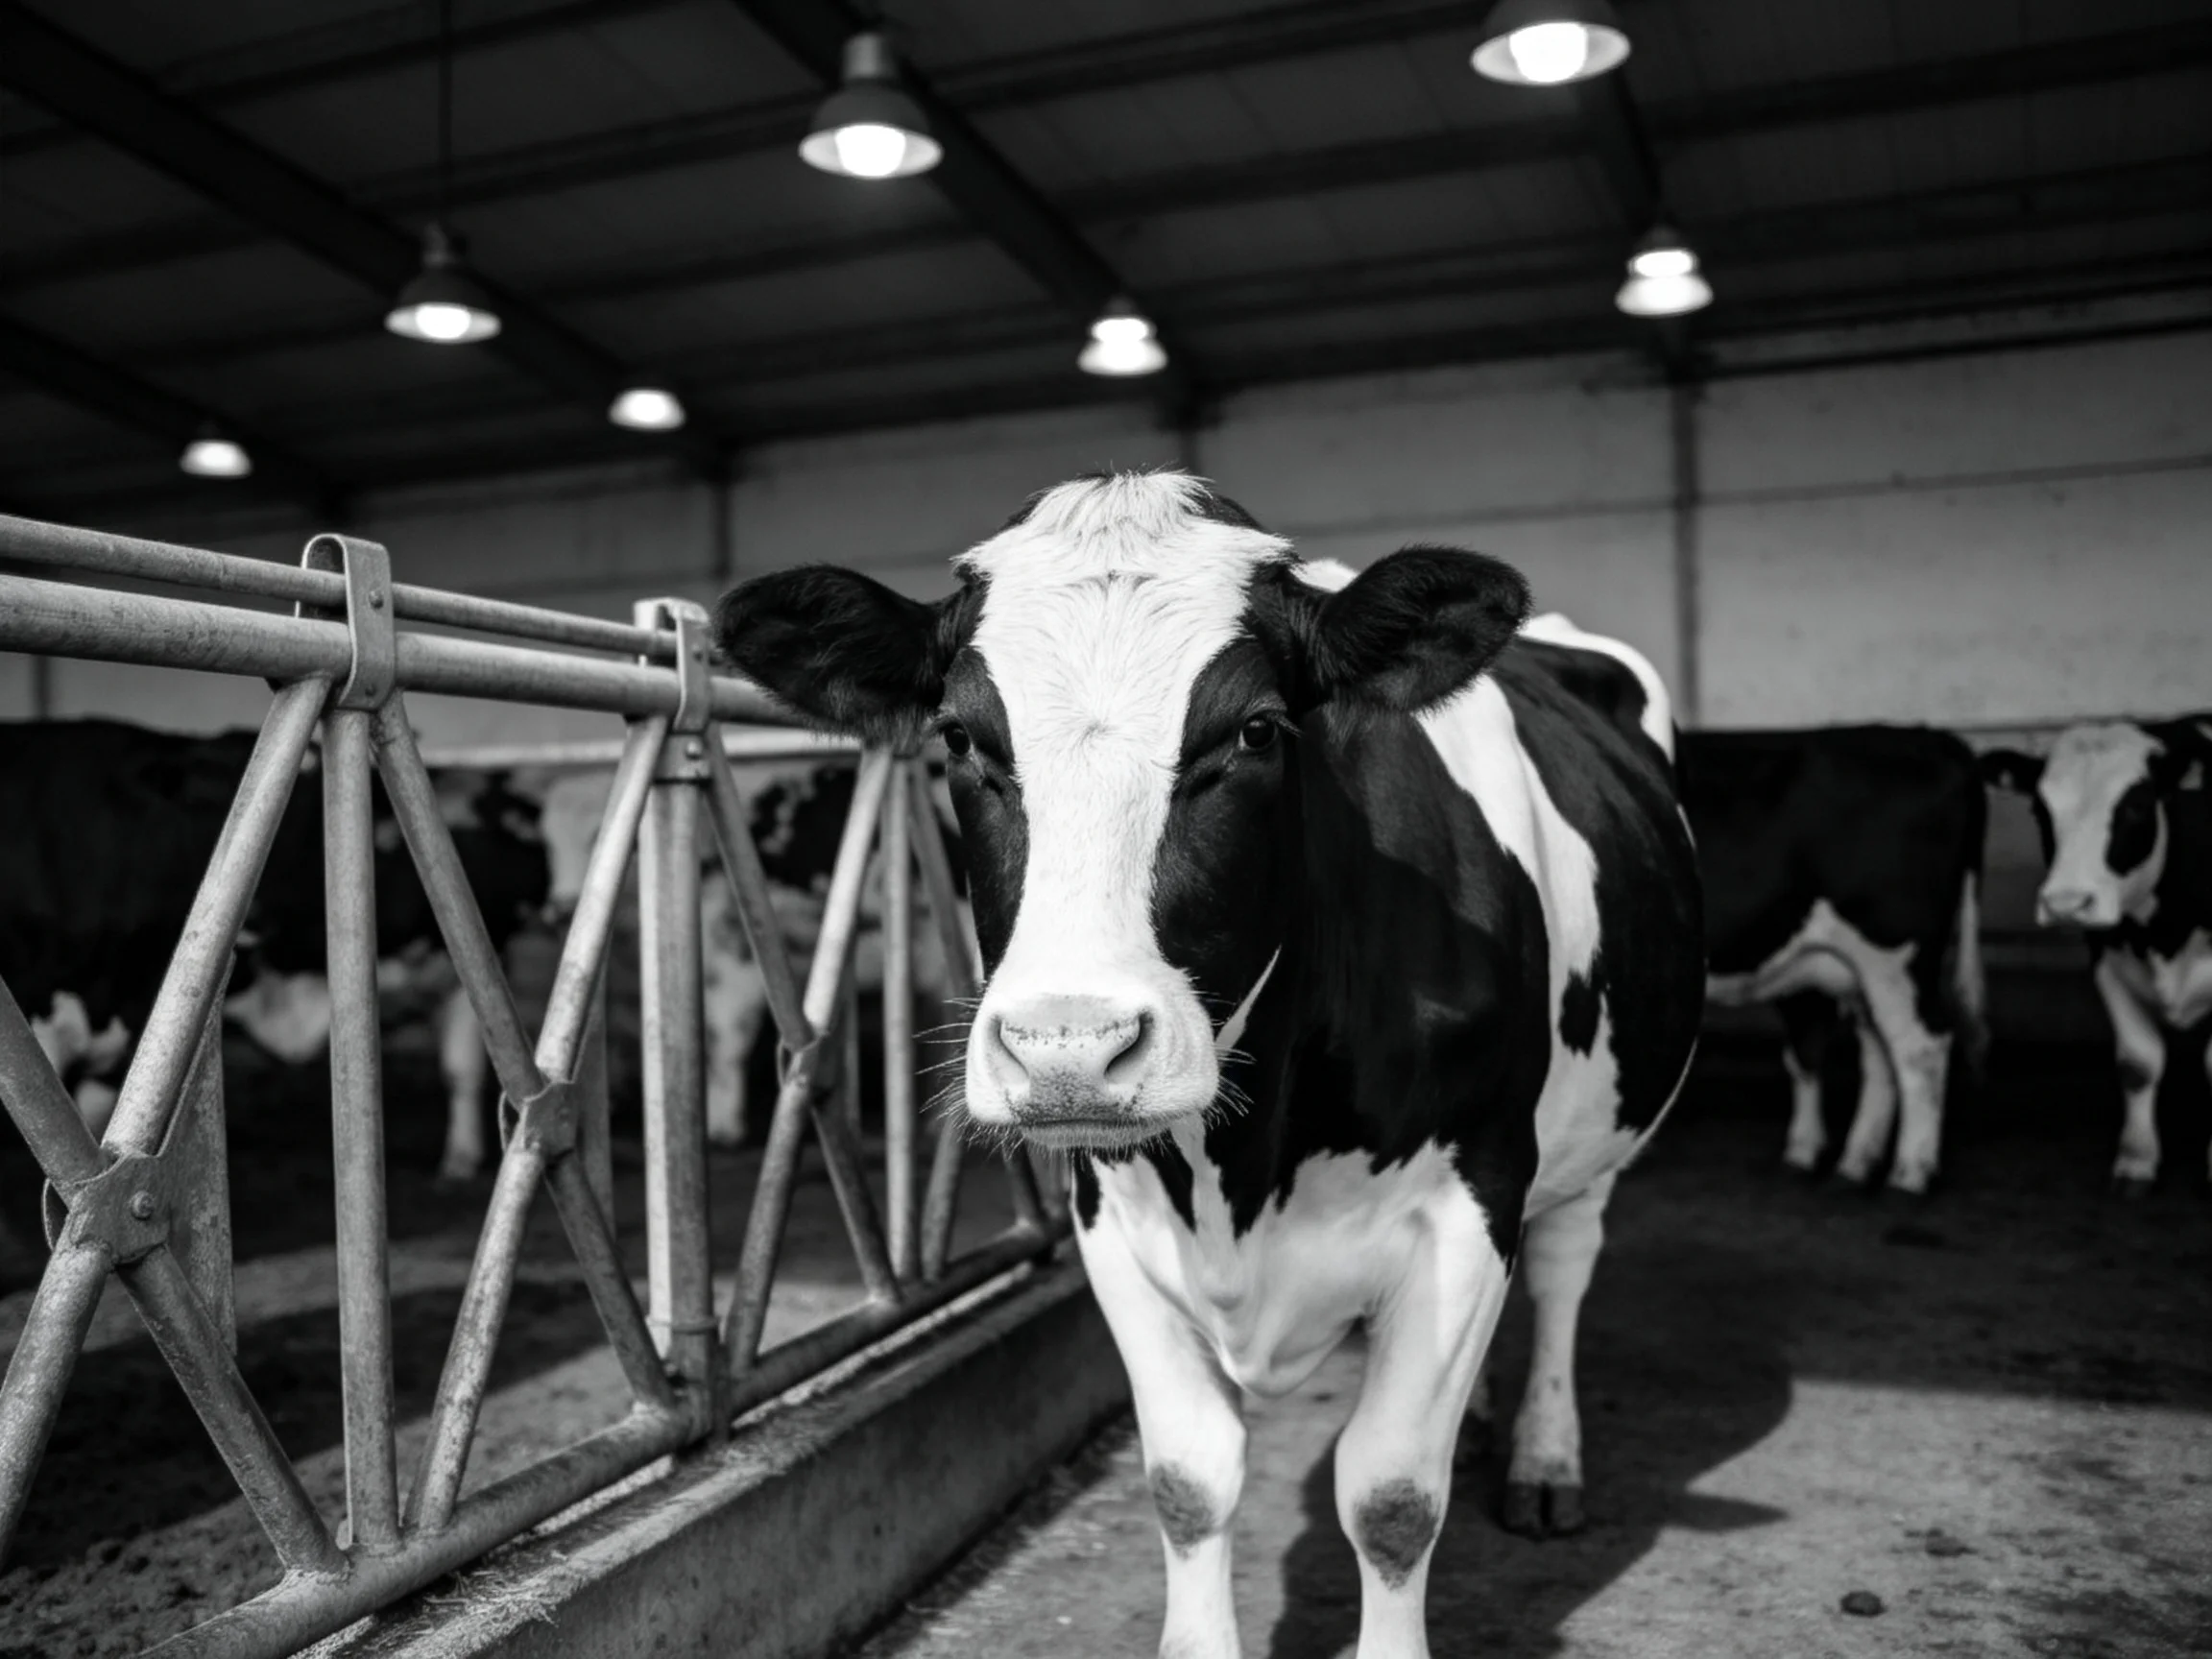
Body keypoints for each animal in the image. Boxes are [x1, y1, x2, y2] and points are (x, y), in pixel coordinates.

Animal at [711, 471, 1705, 1657]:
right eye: (957, 737)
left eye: (1259, 730)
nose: (1068, 1049)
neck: (1246, 1170)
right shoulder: (1112, 1218)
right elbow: (1189, 1482)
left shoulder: (1473, 1193)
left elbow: (1390, 1496)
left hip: (1591, 1133)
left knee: (1562, 1269)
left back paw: (1544, 1460)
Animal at [1680, 727, 1987, 1194]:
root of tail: (1928, 735)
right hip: (1863, 971)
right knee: (1880, 1051)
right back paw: (1857, 1163)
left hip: (1892, 954)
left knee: (1920, 1046)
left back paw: (1910, 1173)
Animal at [1982, 717, 2212, 1193]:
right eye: (2040, 812)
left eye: (2138, 807)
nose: (2066, 902)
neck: (2161, 932)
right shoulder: (2107, 962)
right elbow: (2138, 1063)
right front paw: (2137, 1159)